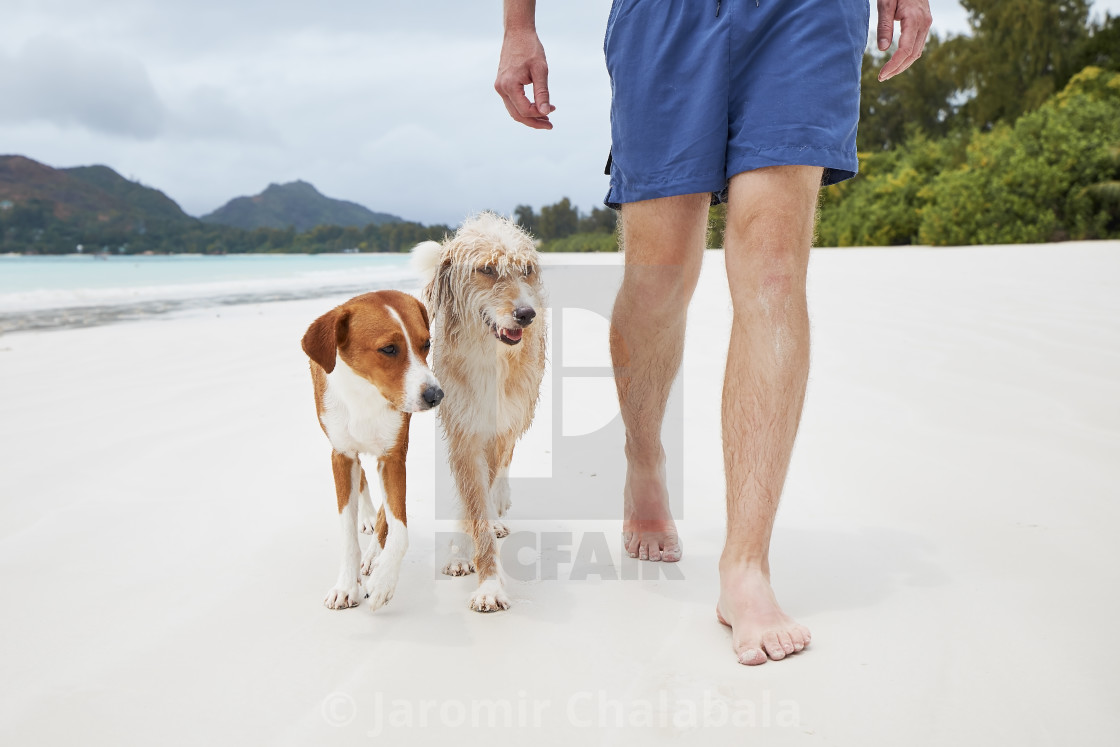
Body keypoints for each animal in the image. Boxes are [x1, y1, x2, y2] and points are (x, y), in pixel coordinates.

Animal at [302, 288, 441, 609]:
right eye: (388, 349)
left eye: (426, 344)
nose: (436, 395)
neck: (366, 392)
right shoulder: (341, 456)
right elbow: (347, 532)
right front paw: (345, 585)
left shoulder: (393, 457)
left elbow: (399, 528)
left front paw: (383, 580)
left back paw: (375, 554)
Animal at [414, 211, 548, 613]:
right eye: (486, 269)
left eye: (526, 270)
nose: (526, 313)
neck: (491, 355)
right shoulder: (464, 429)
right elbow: (473, 502)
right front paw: (482, 572)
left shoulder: (501, 421)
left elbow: (487, 486)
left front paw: (488, 579)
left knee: (504, 460)